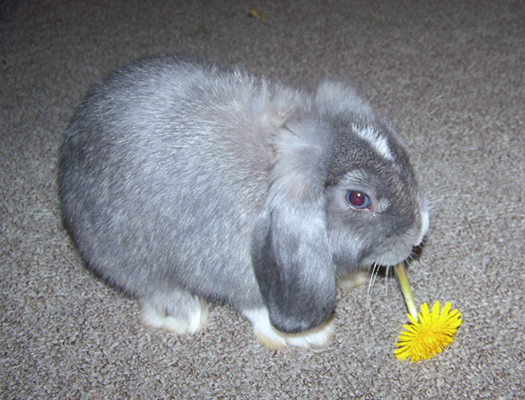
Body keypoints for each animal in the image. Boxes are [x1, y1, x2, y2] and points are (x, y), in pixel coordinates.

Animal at [57, 54, 428, 348]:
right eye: (358, 198)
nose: (418, 233)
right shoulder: (230, 268)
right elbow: (256, 305)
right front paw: (307, 336)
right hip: (124, 254)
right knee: (150, 286)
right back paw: (185, 313)